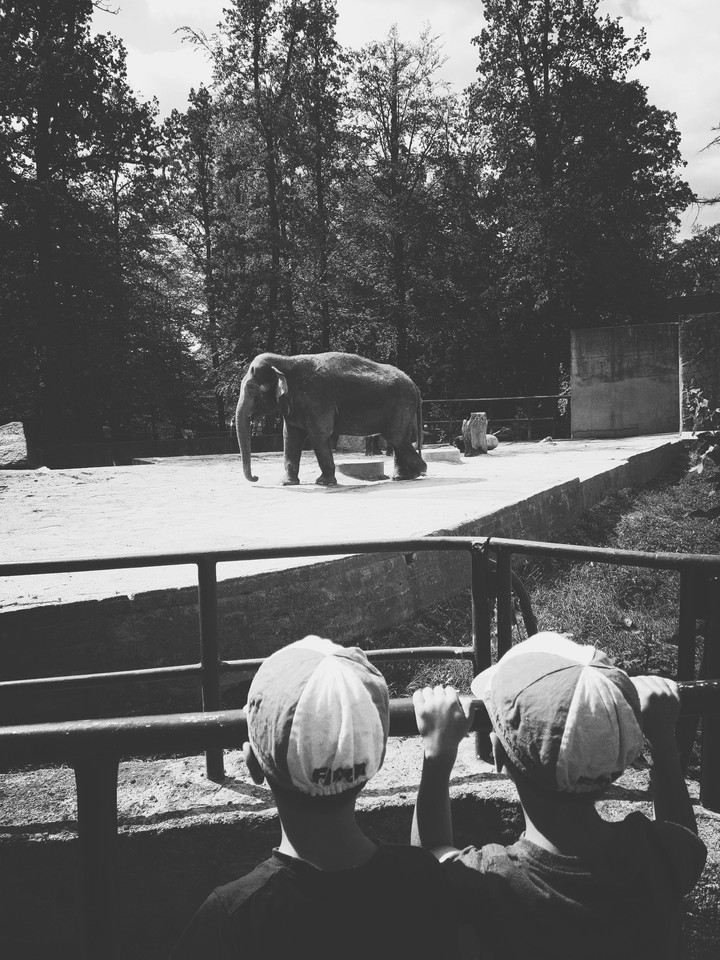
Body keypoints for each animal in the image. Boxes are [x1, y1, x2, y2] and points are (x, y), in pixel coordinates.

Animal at [235, 351, 427, 486]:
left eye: (251, 387)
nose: (256, 477)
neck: (285, 360)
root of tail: (415, 385)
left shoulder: (317, 398)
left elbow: (319, 435)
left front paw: (324, 483)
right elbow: (290, 437)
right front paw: (286, 483)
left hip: (402, 405)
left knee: (397, 437)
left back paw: (419, 472)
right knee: (397, 439)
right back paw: (402, 477)